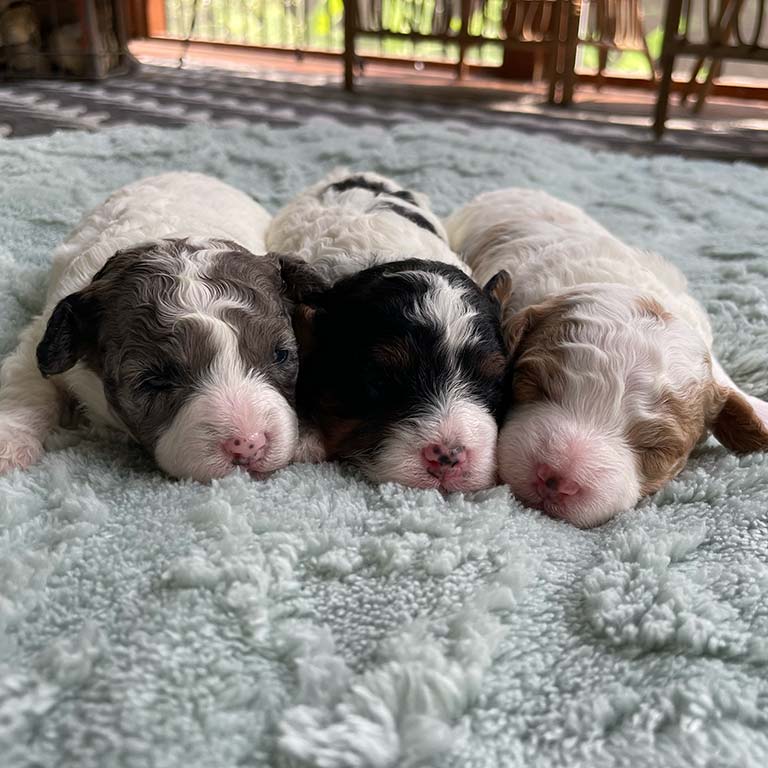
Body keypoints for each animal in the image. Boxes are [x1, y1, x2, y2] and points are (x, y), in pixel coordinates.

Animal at [0, 172, 324, 480]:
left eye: (280, 355)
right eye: (154, 381)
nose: (248, 444)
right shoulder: (41, 334)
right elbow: (28, 384)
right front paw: (9, 445)